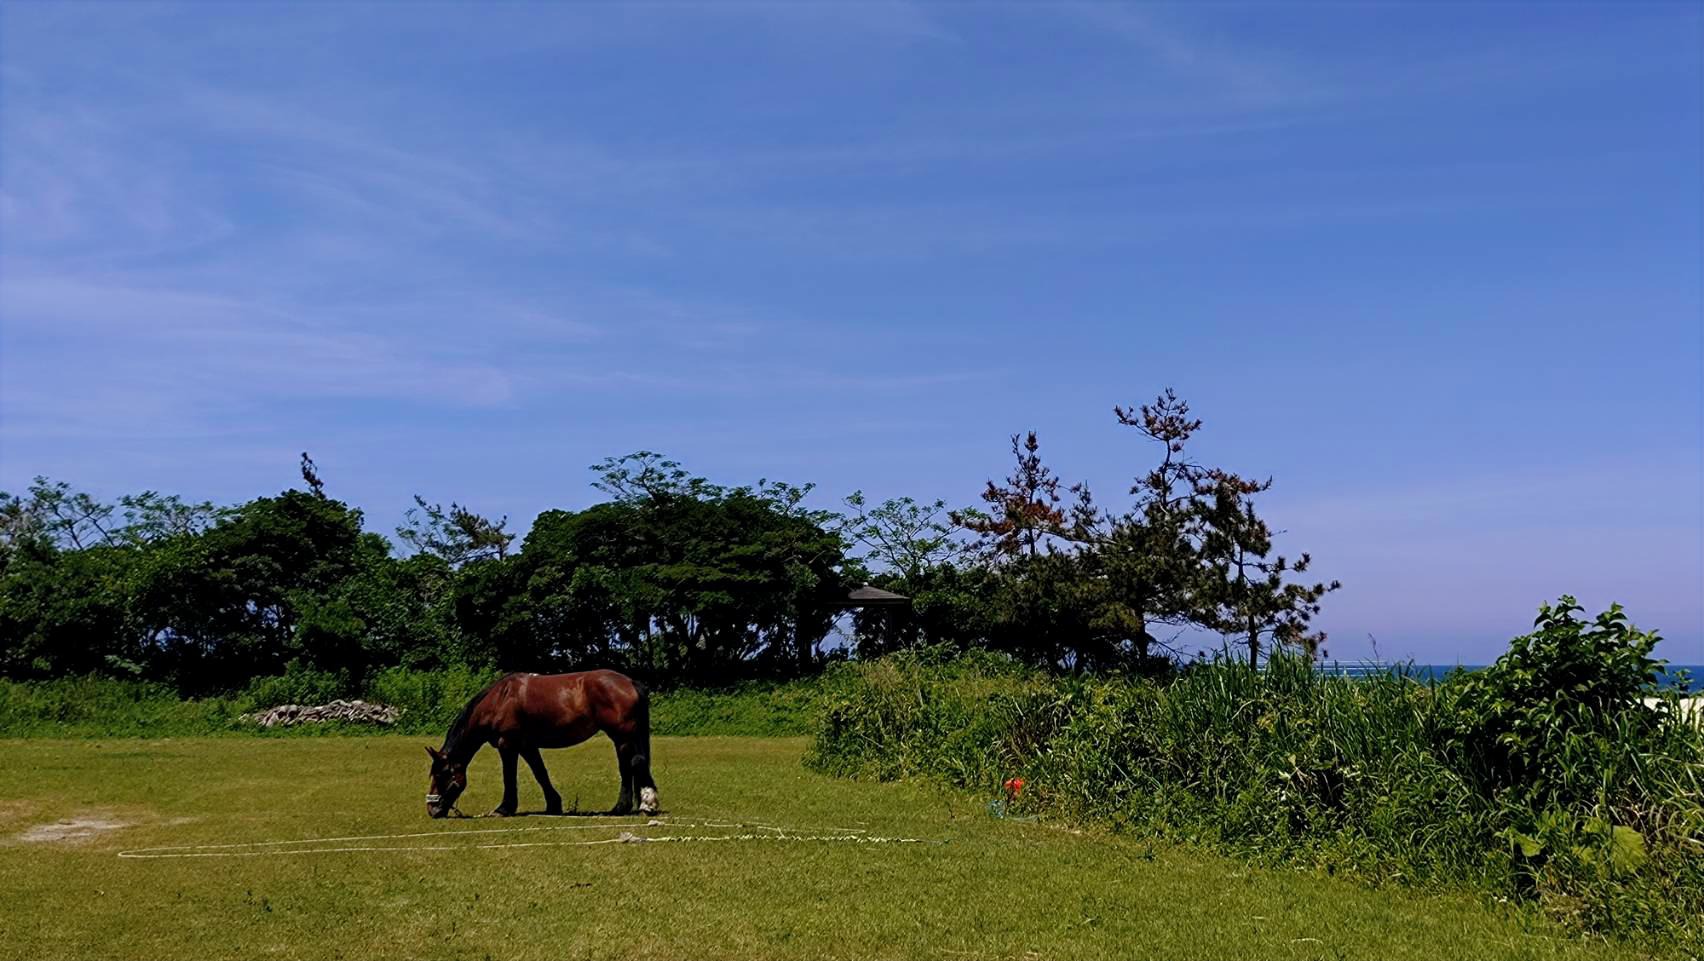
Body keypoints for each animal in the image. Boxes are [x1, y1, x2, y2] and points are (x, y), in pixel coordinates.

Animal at [424, 670, 659, 819]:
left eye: (441, 774)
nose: (432, 810)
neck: (500, 699)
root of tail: (630, 682)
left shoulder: (507, 745)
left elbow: (509, 777)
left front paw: (504, 808)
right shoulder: (527, 745)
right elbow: (540, 773)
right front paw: (554, 804)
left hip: (623, 736)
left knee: (634, 764)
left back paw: (641, 805)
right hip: (622, 738)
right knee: (630, 766)